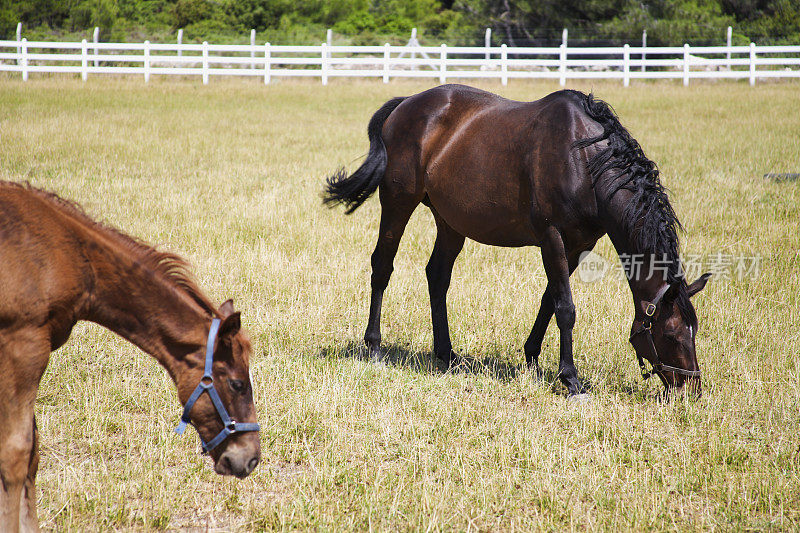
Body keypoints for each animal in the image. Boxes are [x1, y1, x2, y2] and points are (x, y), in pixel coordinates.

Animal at [0, 181, 260, 528]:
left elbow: (32, 455)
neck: (70, 255)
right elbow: (16, 454)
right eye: (236, 384)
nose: (251, 458)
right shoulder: (23, 347)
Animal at [324, 84, 712, 394]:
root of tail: (405, 104)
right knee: (382, 266)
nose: (691, 388)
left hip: (450, 222)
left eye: (695, 331)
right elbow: (566, 307)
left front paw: (532, 358)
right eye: (672, 334)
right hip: (397, 203)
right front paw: (570, 378)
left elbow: (549, 300)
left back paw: (446, 353)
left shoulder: (579, 245)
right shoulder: (552, 238)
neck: (584, 159)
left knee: (437, 275)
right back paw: (374, 346)